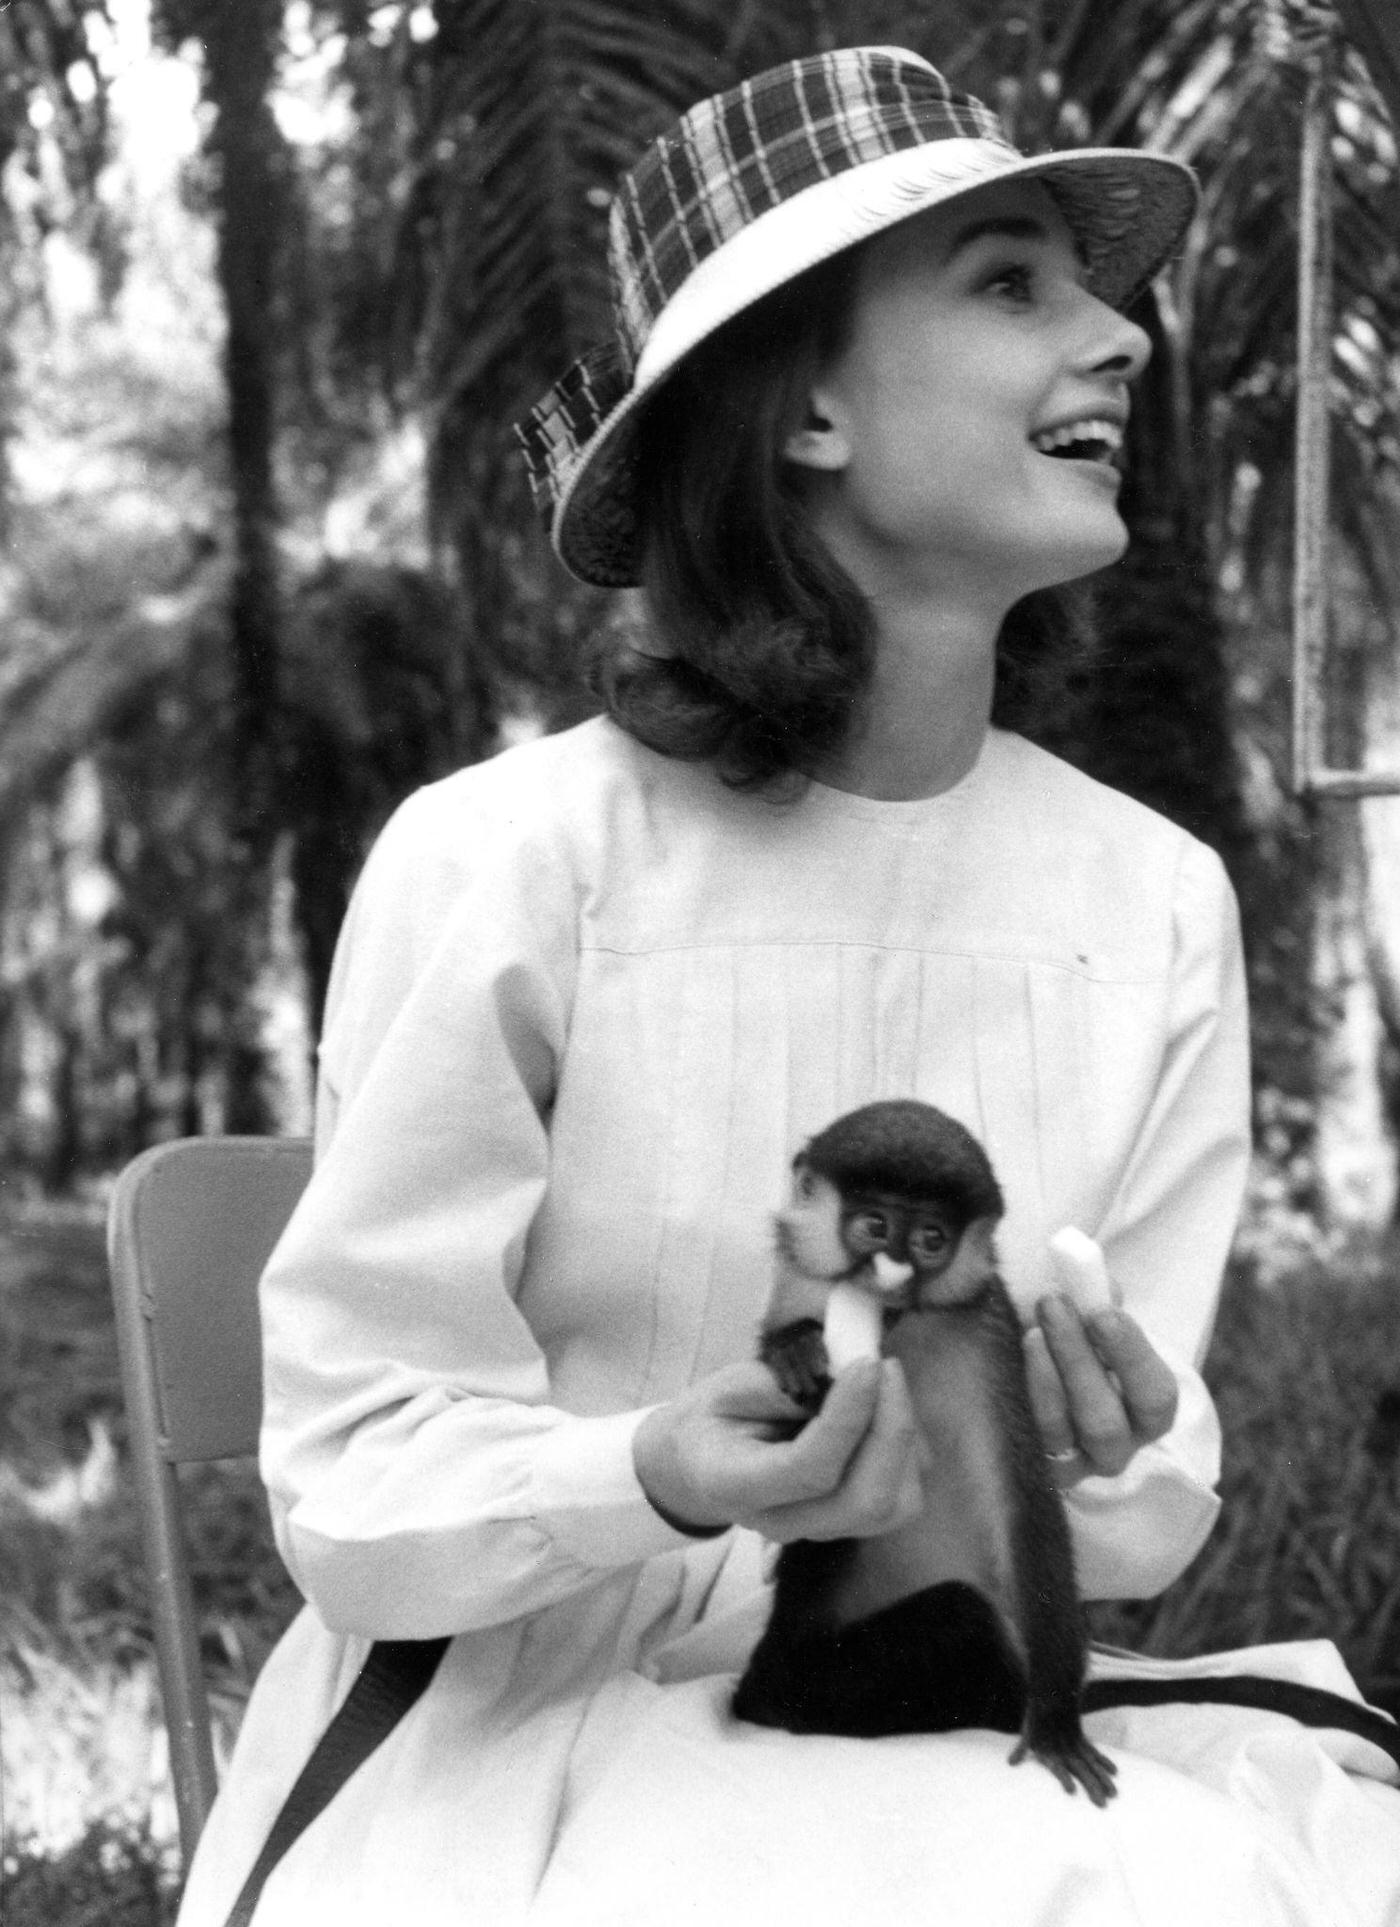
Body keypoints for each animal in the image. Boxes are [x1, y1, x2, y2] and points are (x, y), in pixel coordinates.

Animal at [735, 1102, 1116, 1803]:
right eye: (875, 1225)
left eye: (931, 1240)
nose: (893, 1273)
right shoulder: (797, 1283)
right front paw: (795, 1348)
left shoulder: (988, 1336)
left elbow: (1025, 1504)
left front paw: (1056, 1721)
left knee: (964, 1614)